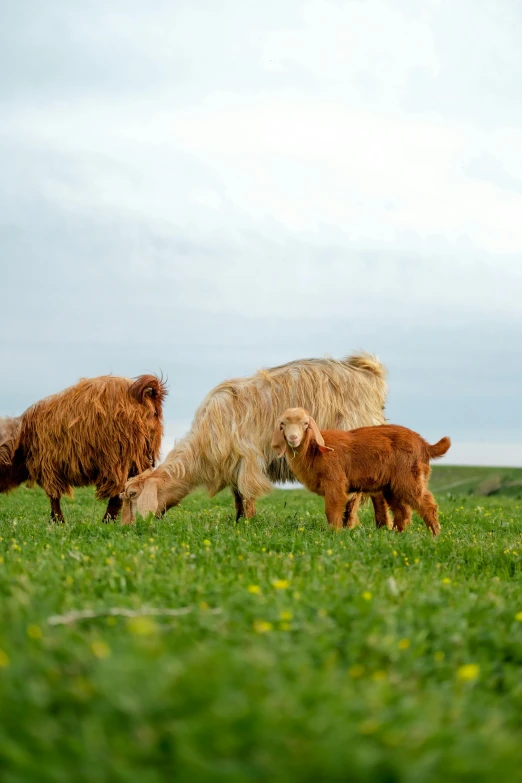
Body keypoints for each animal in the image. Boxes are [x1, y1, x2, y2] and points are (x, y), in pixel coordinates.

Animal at [0, 376, 166, 524]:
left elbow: (53, 496)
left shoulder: (48, 465)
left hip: (118, 458)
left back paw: (107, 521)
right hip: (140, 457)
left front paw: (57, 521)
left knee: (117, 492)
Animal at [120, 356, 384, 528]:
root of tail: (368, 375)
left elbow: (247, 492)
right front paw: (238, 521)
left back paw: (348, 524)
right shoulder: (233, 464)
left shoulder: (246, 457)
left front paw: (247, 523)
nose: (124, 527)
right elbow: (237, 495)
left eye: (132, 494)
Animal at [272, 410, 446, 532]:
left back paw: (434, 535)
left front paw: (334, 532)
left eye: (305, 423)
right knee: (402, 511)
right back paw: (397, 535)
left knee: (428, 505)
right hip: (392, 487)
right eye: (282, 424)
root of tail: (425, 445)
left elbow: (332, 509)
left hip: (409, 478)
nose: (293, 438)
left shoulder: (335, 482)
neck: (314, 450)